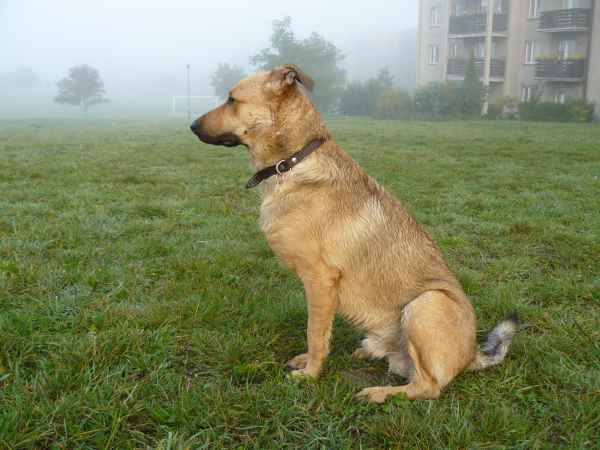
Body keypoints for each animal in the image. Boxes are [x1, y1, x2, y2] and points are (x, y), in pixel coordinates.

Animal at [190, 64, 518, 402]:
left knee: (427, 387)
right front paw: (308, 363)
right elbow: (321, 332)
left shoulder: (320, 280)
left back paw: (378, 393)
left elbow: (315, 333)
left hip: (426, 303)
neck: (293, 161)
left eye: (231, 100)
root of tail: (471, 355)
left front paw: (310, 374)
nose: (191, 126)